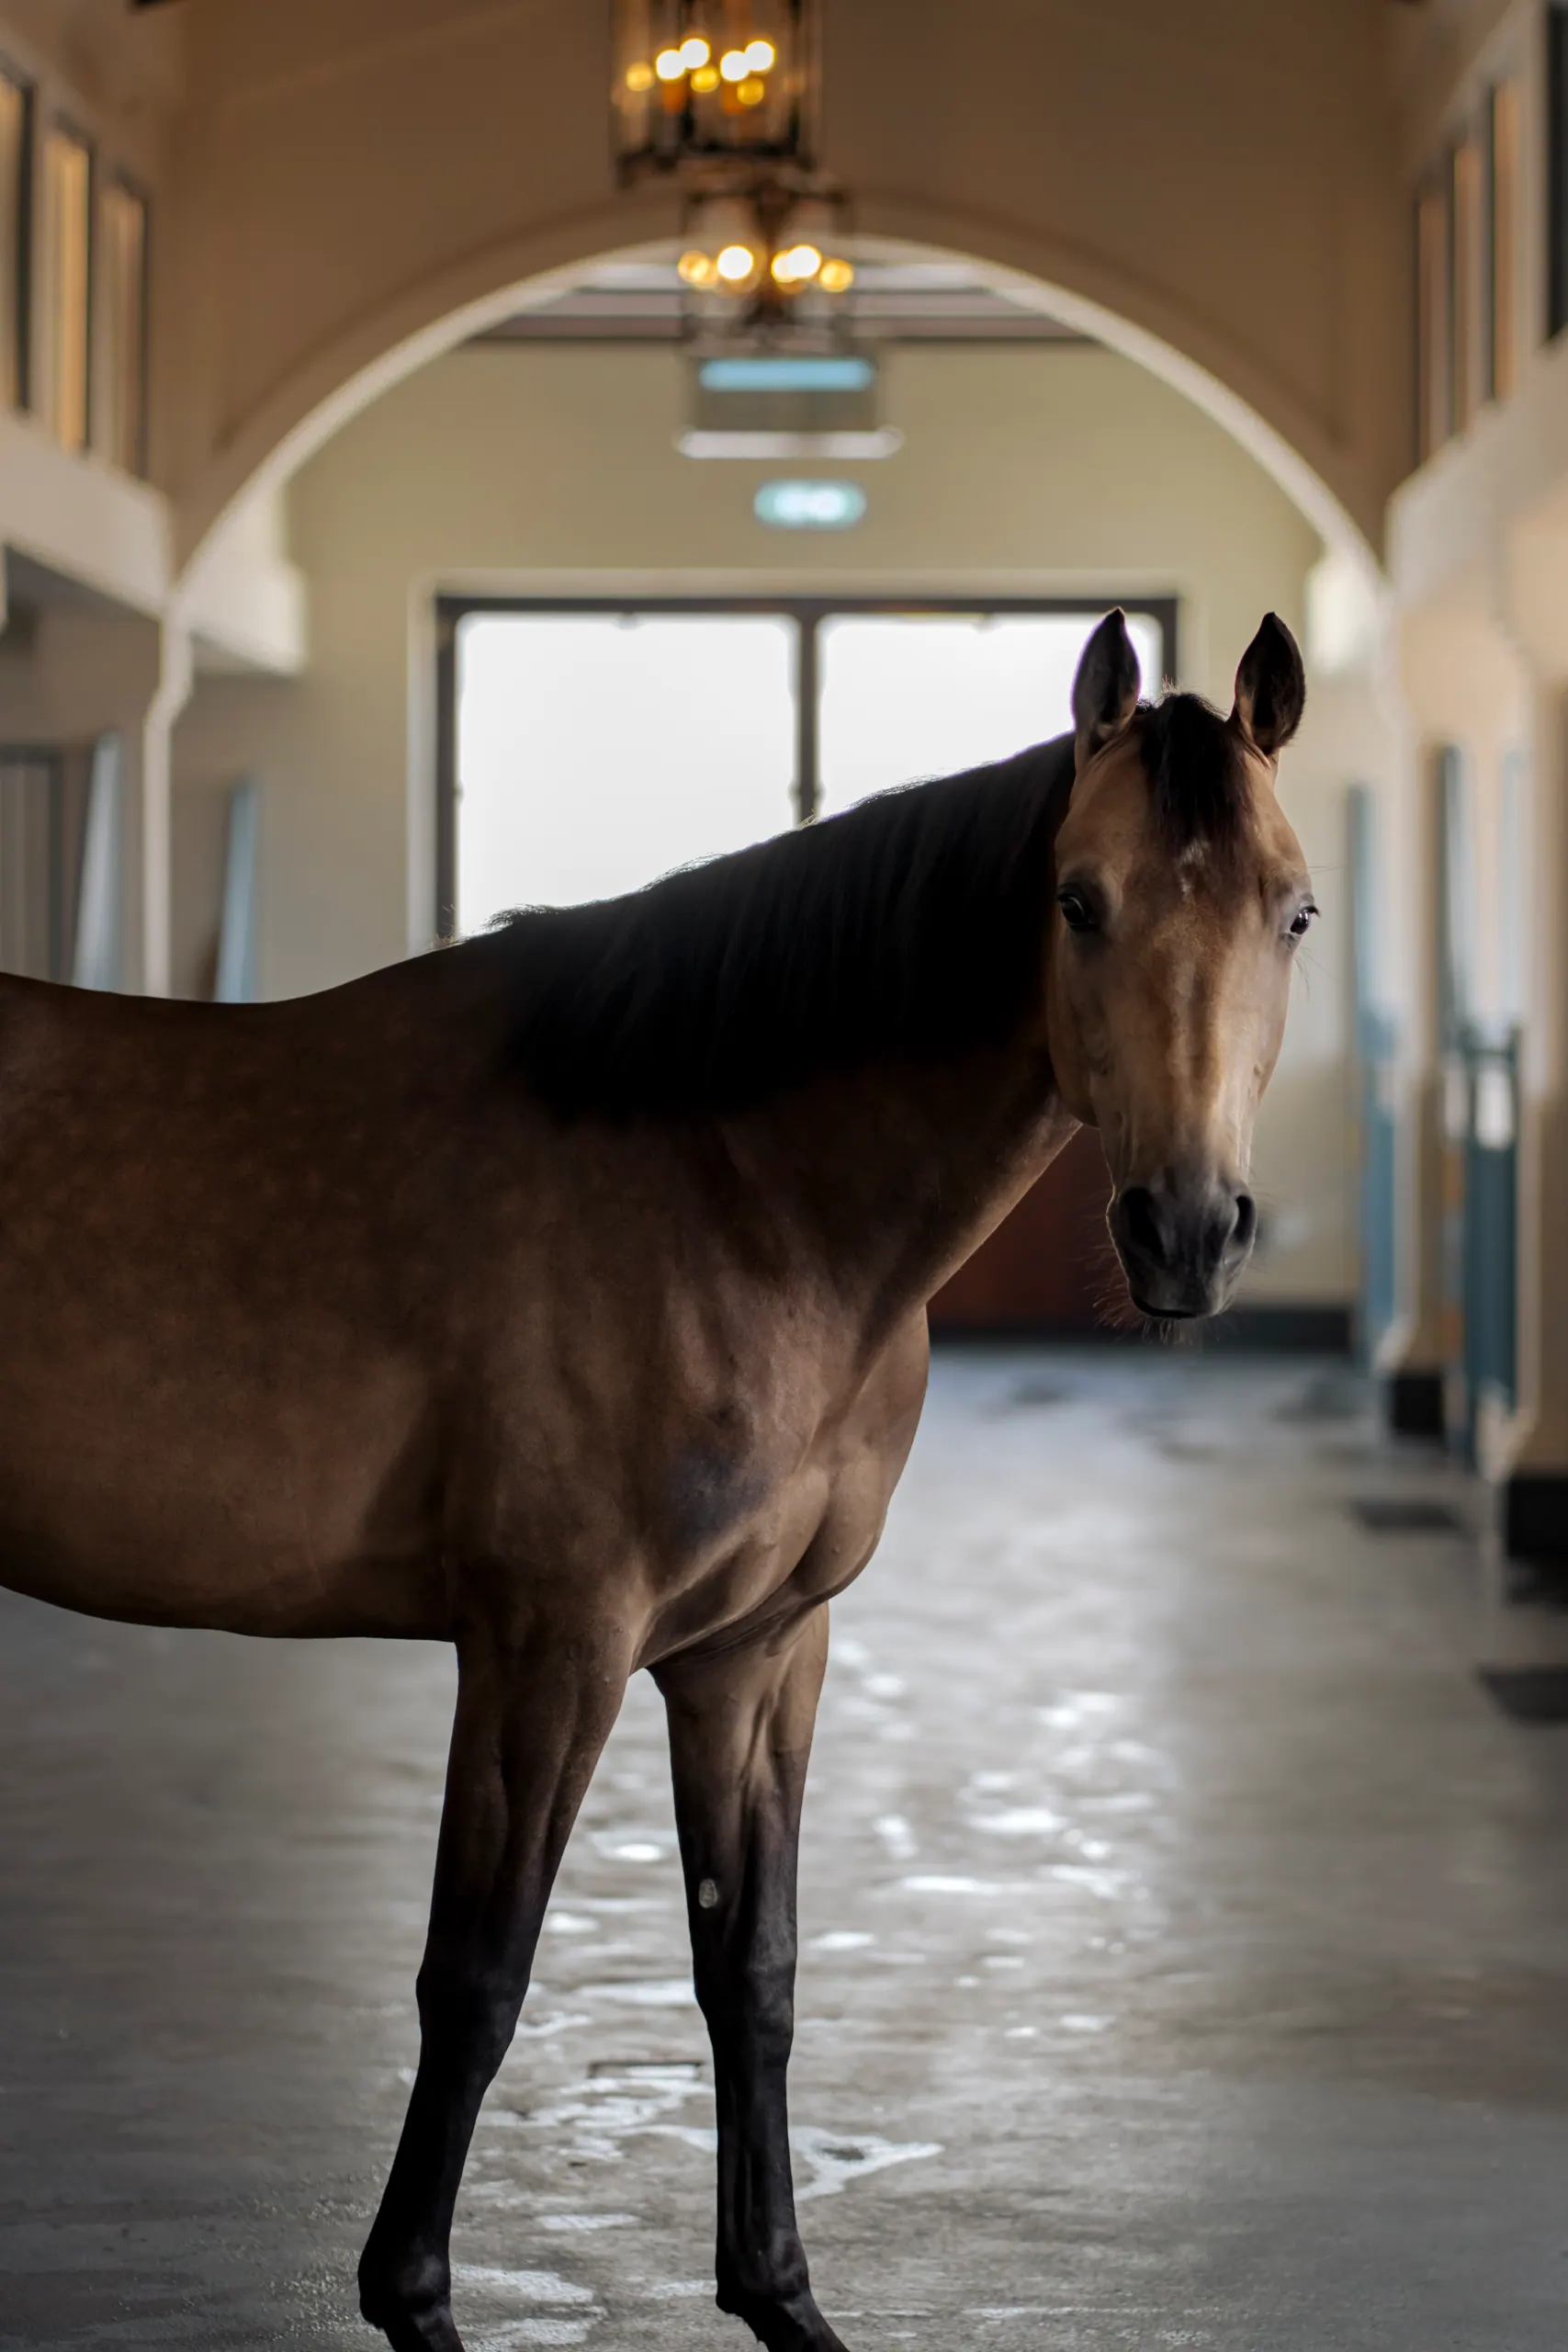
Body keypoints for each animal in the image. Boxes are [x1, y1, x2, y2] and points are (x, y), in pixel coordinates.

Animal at [0, 609, 1310, 2351]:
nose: (1183, 1232)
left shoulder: (751, 1652)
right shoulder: (550, 1646)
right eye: (1074, 900)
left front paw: (778, 2297)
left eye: (1293, 910)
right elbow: (477, 1976)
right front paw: (413, 2302)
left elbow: (750, 1970)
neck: (731, 1195)